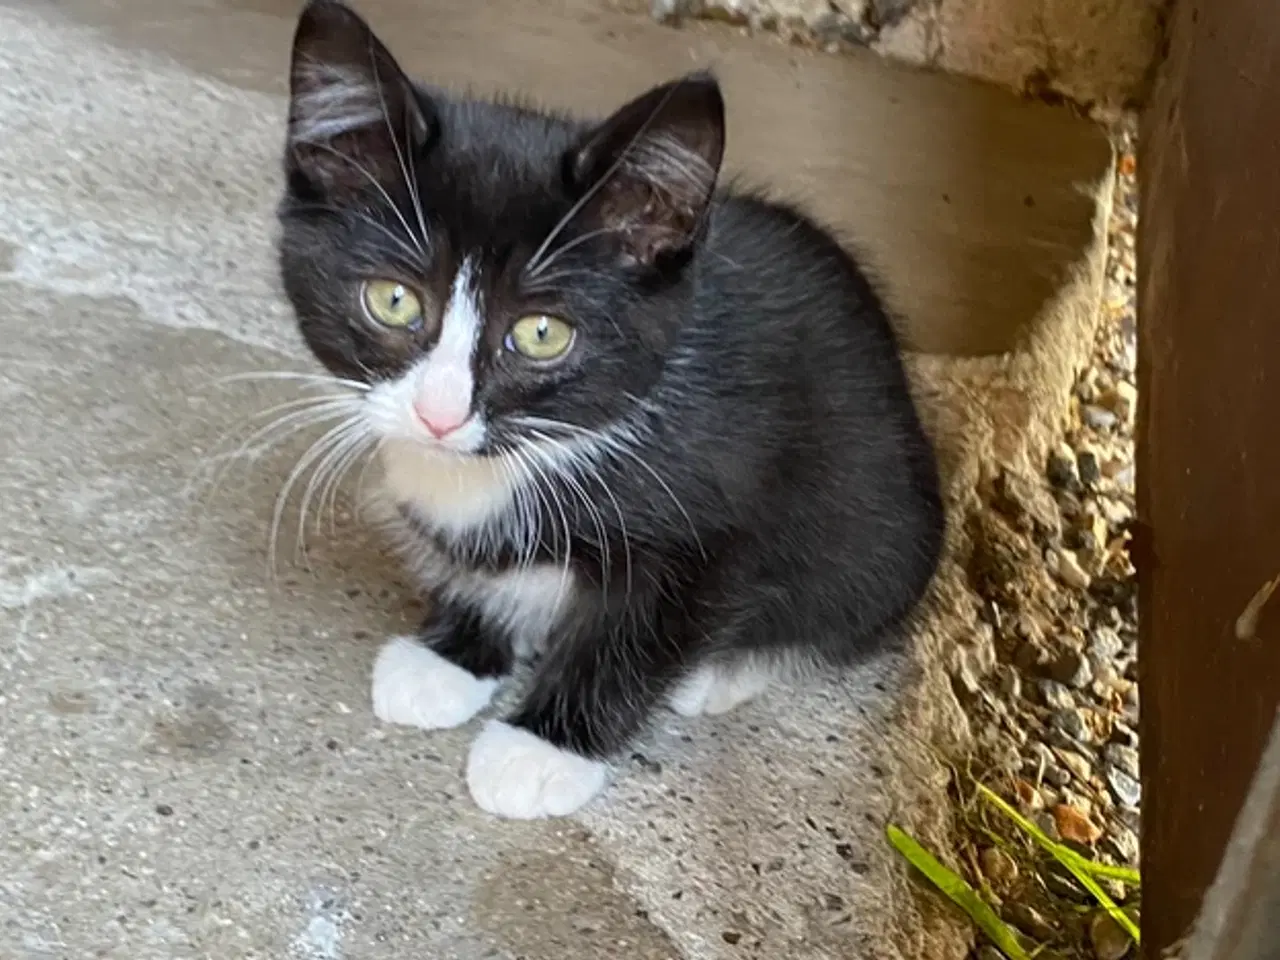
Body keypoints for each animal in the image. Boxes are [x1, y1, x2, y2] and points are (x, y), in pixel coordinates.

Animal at [275, 0, 947, 824]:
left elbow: (640, 631)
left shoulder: (721, 511)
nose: (438, 416)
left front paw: (543, 747)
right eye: (394, 300)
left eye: (541, 334)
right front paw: (453, 656)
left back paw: (721, 673)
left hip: (884, 528)